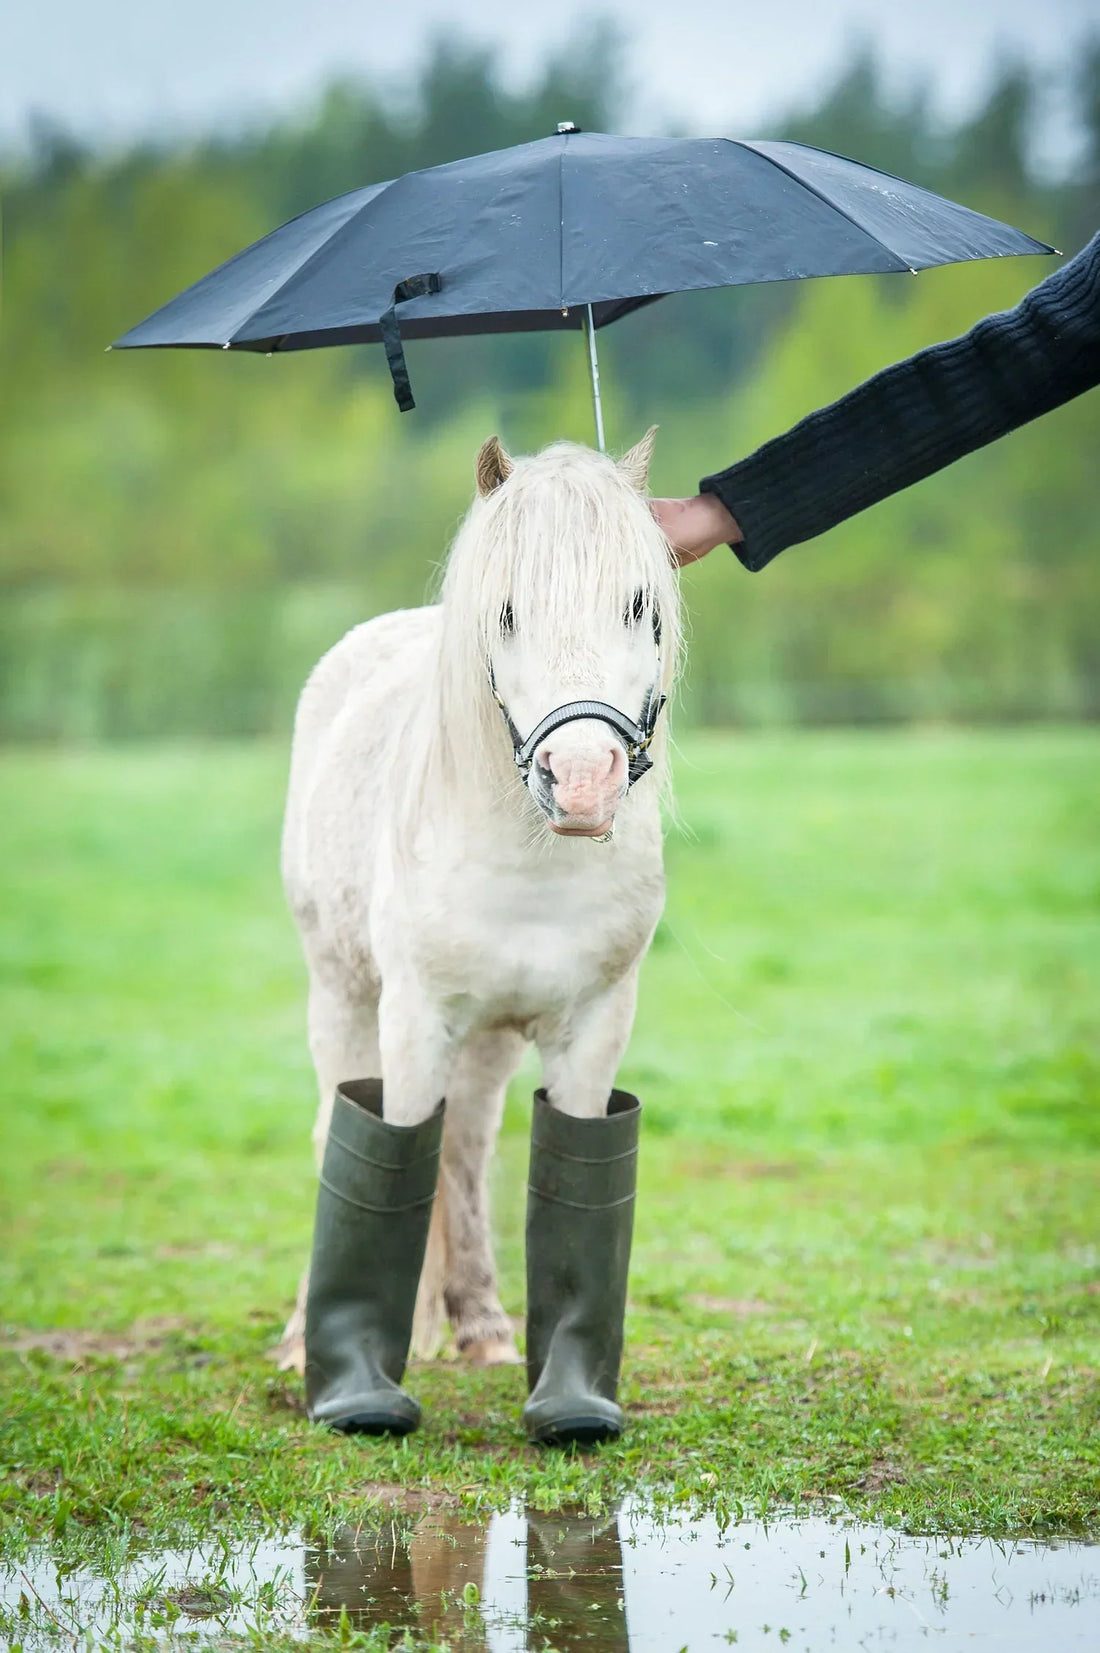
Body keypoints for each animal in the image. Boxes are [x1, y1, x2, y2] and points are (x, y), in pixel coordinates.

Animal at [273, 429, 680, 1439]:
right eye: (506, 612)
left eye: (639, 602)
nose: (583, 781)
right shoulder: (415, 1016)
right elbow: (390, 1146)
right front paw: (363, 1376)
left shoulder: (592, 1028)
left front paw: (561, 1391)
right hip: (342, 994)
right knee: (343, 1124)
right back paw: (311, 1338)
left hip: (490, 1039)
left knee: (463, 1145)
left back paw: (477, 1324)